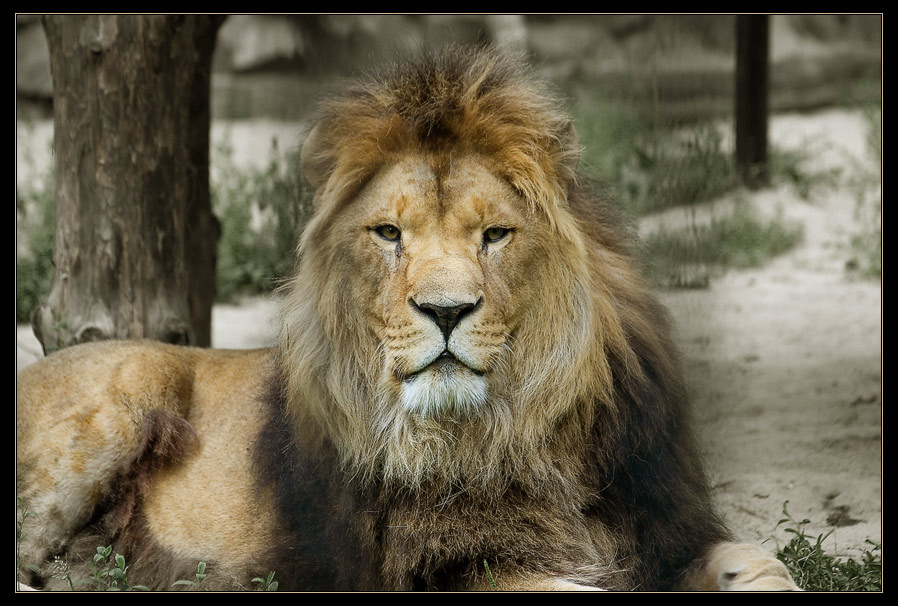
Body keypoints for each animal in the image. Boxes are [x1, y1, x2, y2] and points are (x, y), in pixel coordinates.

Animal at [16, 48, 799, 591]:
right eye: (389, 234)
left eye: (495, 235)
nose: (445, 310)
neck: (516, 435)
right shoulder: (452, 569)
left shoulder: (664, 530)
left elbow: (762, 564)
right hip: (117, 404)